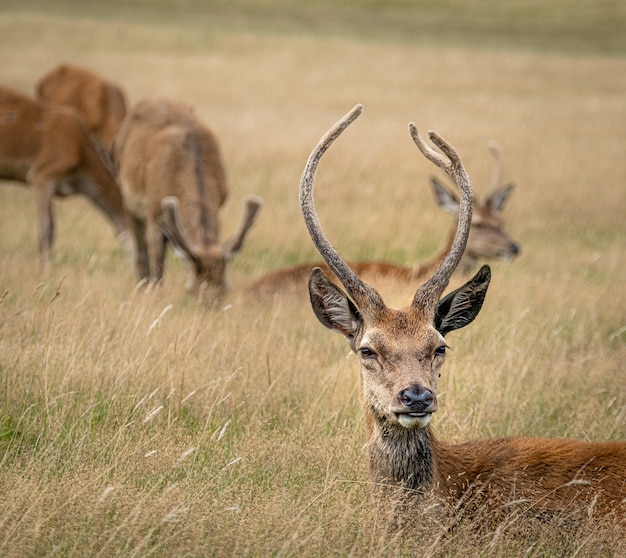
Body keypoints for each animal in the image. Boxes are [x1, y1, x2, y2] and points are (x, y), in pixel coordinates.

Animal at [113, 97, 262, 298]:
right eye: (192, 290)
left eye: (224, 289)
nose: (209, 303)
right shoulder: (154, 209)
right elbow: (157, 264)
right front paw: (155, 293)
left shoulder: (219, 205)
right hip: (126, 195)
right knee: (140, 249)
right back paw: (141, 286)